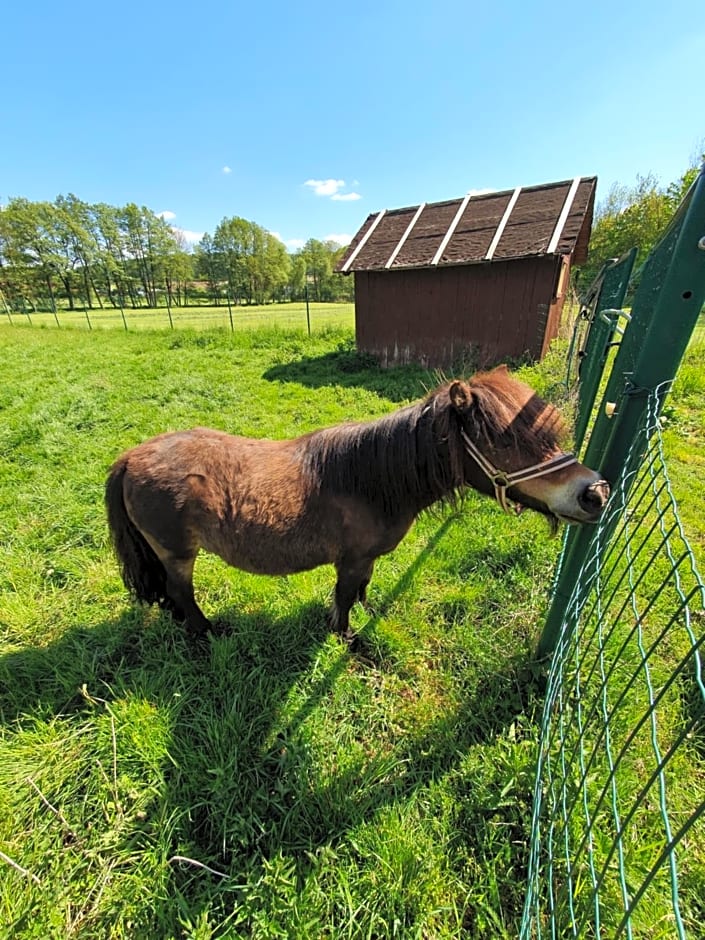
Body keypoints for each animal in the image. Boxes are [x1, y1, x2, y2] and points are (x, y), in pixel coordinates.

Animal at [104, 366, 604, 640]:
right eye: (506, 441)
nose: (594, 492)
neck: (371, 481)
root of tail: (130, 457)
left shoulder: (367, 560)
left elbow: (363, 590)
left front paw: (368, 614)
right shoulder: (350, 560)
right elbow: (344, 598)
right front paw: (346, 637)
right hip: (177, 553)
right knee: (180, 593)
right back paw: (206, 633)